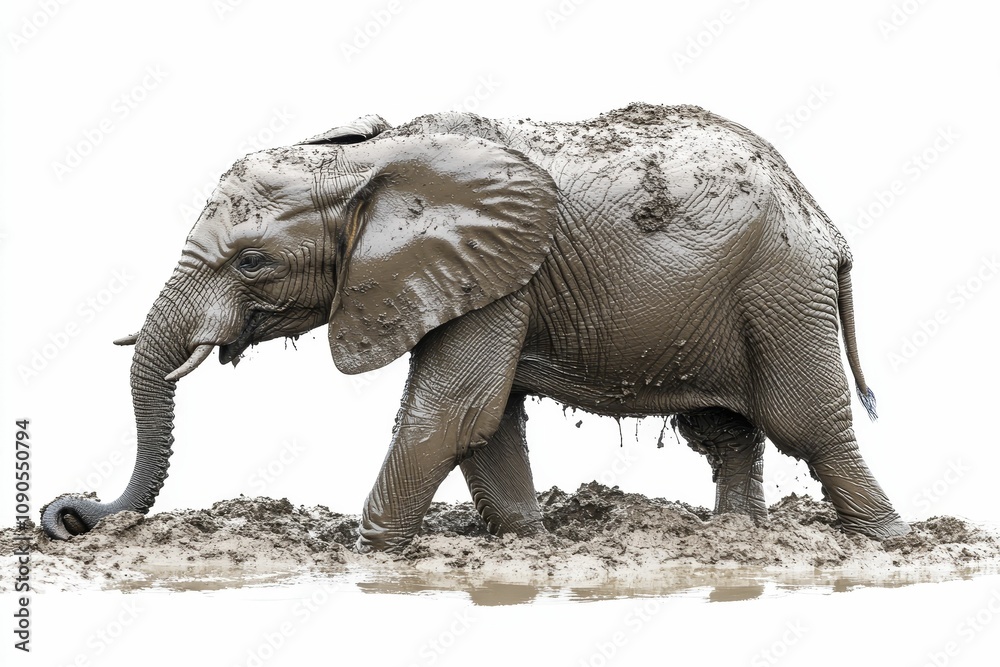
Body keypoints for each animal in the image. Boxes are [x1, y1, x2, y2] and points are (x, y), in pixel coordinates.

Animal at [41, 102, 910, 550]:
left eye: (252, 262)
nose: (67, 513)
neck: (372, 159)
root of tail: (825, 223)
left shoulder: (496, 270)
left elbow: (453, 409)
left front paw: (365, 551)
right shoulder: (474, 276)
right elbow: (486, 421)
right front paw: (530, 542)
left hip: (780, 286)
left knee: (808, 424)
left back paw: (888, 538)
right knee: (725, 431)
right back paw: (736, 539)